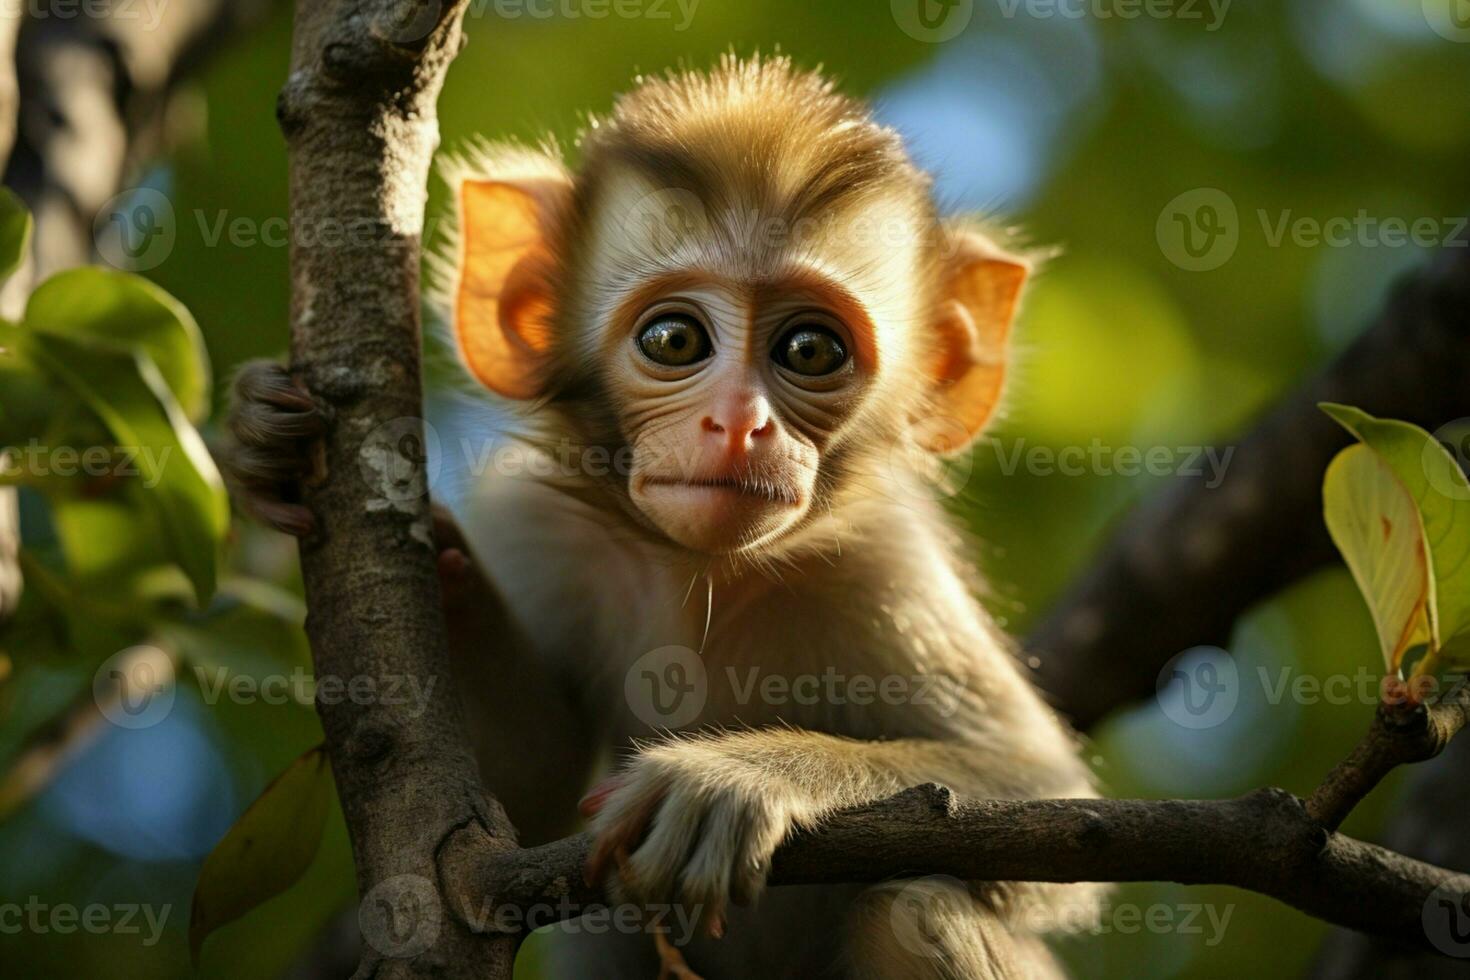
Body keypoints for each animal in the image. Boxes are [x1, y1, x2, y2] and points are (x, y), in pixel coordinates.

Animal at [226, 55, 1105, 980]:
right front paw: (274, 447)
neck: (698, 573)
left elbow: (1044, 801)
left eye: (810, 350)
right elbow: (514, 807)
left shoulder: (882, 565)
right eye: (675, 340)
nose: (740, 423)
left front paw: (740, 779)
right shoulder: (536, 525)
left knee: (916, 906)